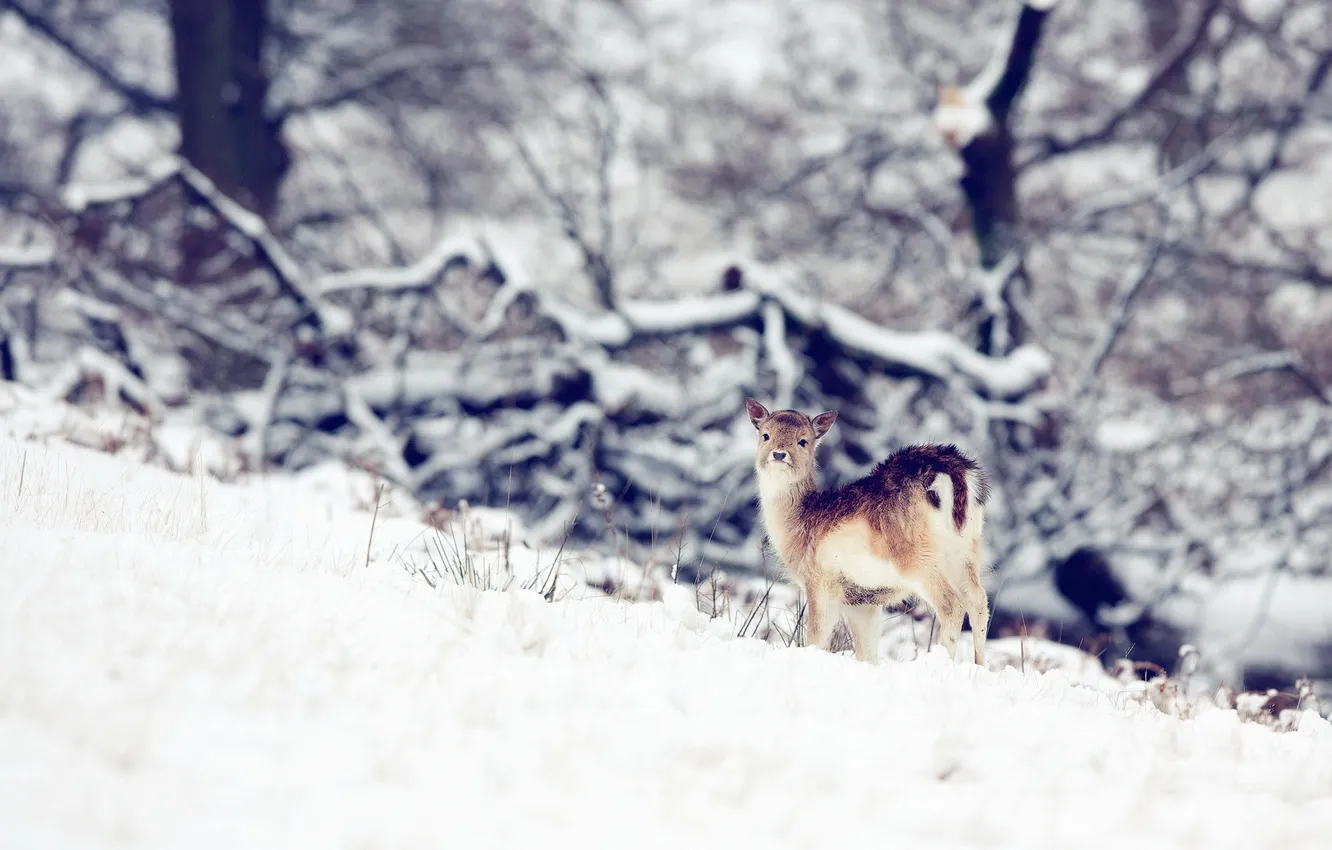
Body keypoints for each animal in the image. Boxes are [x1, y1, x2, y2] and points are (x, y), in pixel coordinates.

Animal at [745, 398, 991, 666]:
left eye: (803, 440)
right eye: (765, 435)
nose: (779, 454)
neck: (799, 527)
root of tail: (952, 471)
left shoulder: (821, 581)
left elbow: (817, 638)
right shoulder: (863, 600)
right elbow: (868, 653)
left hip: (915, 555)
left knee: (950, 603)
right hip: (966, 550)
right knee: (978, 599)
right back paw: (980, 665)